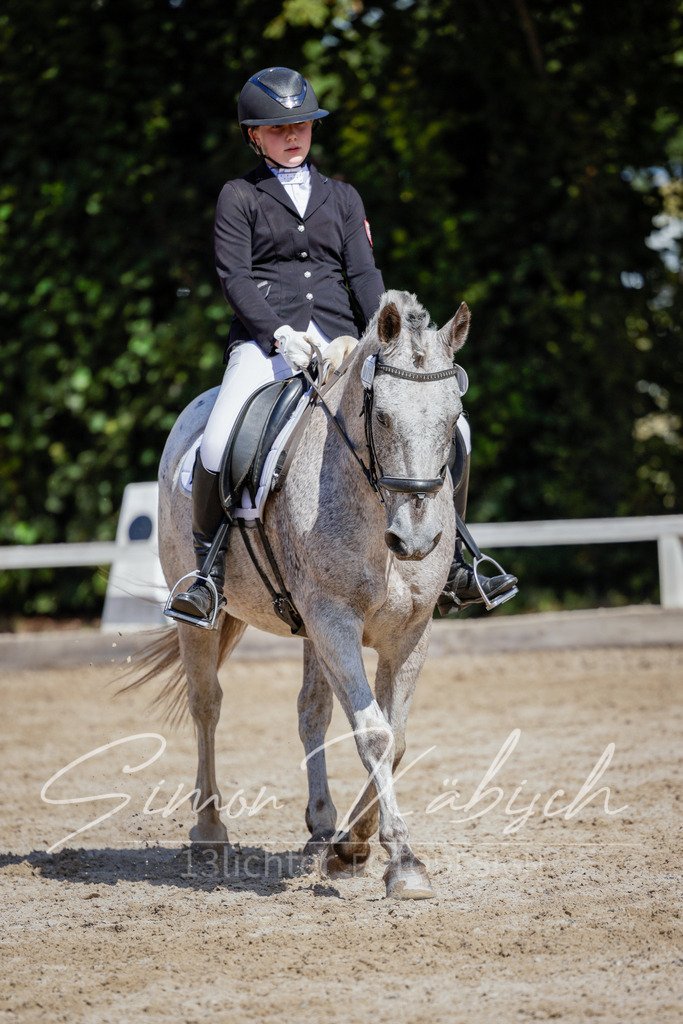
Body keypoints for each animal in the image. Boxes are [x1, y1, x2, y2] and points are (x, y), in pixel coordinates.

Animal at [133, 289, 469, 900]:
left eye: (453, 418)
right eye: (381, 415)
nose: (415, 540)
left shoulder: (408, 631)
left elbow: (394, 737)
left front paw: (353, 844)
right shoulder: (334, 620)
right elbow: (375, 733)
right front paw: (402, 860)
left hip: (311, 629)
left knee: (312, 710)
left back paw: (322, 829)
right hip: (203, 615)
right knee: (206, 704)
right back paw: (210, 831)